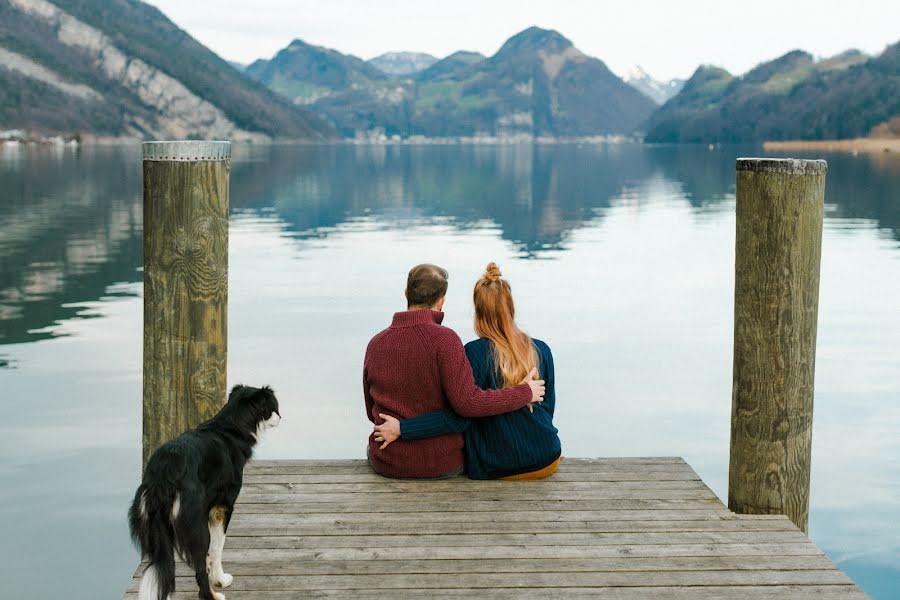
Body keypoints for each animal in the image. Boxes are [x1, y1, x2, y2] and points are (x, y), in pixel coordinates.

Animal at [128, 384, 280, 600]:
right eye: (273, 408)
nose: (280, 418)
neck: (231, 426)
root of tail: (164, 473)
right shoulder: (223, 507)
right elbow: (216, 549)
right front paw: (220, 579)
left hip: (155, 526)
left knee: (161, 569)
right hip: (195, 526)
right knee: (198, 568)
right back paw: (213, 595)